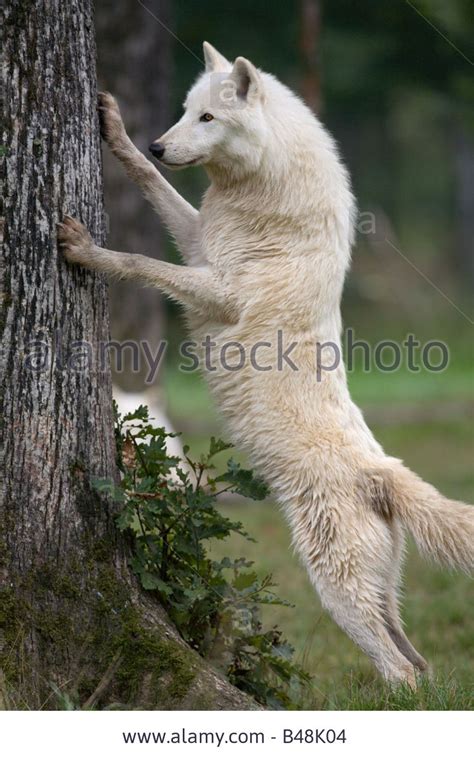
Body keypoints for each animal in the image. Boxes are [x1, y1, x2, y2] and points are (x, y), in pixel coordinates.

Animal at [59, 40, 474, 684]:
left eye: (209, 118)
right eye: (186, 111)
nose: (159, 143)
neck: (268, 202)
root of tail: (383, 472)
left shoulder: (215, 288)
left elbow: (137, 261)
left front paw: (85, 249)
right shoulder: (198, 242)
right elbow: (154, 186)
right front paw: (116, 129)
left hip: (337, 592)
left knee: (401, 671)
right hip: (378, 594)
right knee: (420, 663)